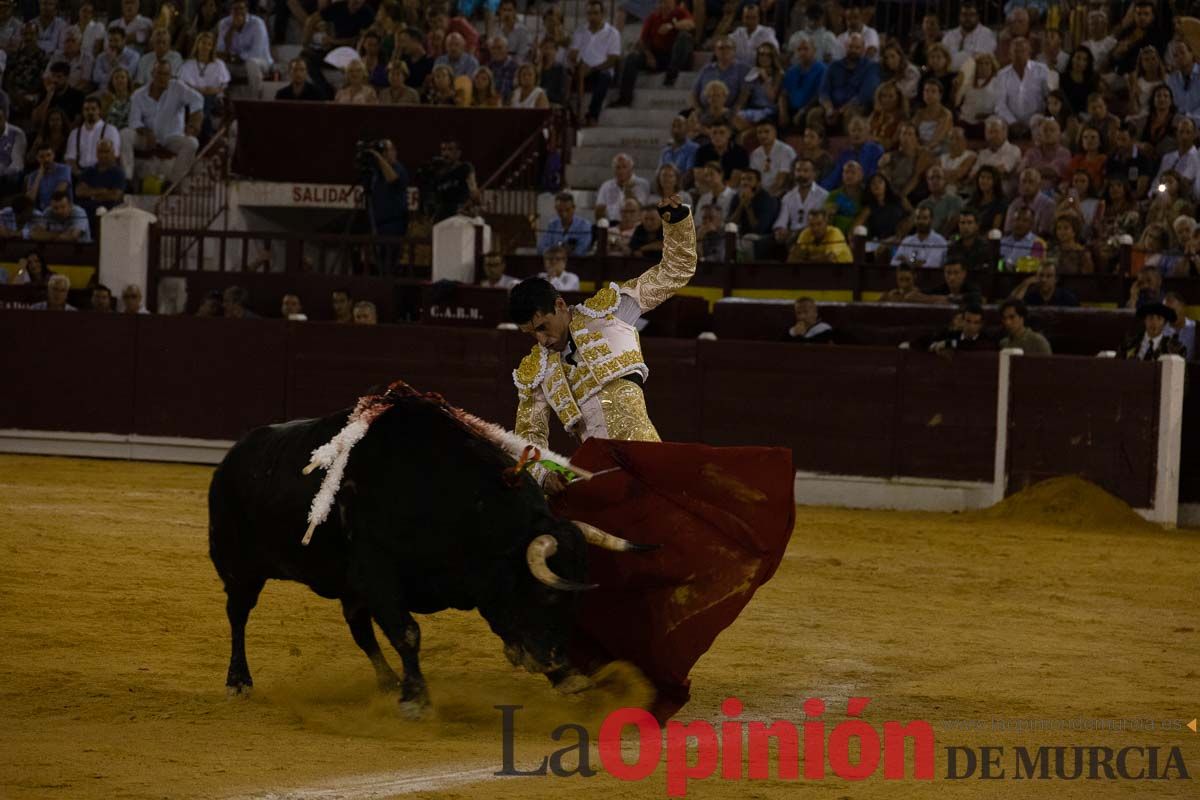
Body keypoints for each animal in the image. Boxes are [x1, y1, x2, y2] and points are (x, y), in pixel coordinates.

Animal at [208, 398, 638, 714]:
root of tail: (232, 458)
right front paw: (416, 699)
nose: (560, 665)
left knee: (360, 629)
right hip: (240, 569)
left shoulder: (374, 583)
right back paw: (238, 682)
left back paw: (387, 683)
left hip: (346, 587)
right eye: (548, 593)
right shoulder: (378, 574)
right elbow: (408, 633)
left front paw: (567, 680)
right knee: (237, 615)